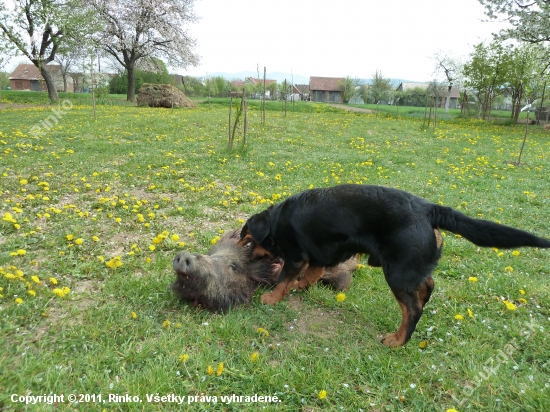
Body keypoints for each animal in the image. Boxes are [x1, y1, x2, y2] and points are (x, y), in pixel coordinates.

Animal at [242, 185, 550, 346]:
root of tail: (429, 209)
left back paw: (398, 339)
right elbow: (310, 275)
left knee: (412, 309)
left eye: (248, 242)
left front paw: (272, 297)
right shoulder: (318, 257)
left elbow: (284, 278)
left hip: (397, 273)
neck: (276, 221)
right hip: (409, 267)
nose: (247, 257)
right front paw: (300, 286)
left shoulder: (296, 256)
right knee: (427, 285)